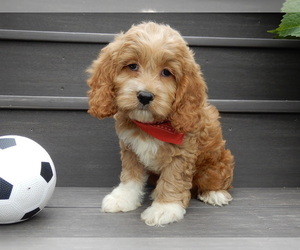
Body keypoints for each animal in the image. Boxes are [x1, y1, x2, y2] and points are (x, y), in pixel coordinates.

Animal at [86, 22, 234, 227]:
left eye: (166, 72)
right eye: (132, 66)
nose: (145, 96)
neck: (152, 126)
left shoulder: (182, 154)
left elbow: (172, 180)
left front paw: (165, 208)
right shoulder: (130, 149)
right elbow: (130, 176)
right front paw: (123, 198)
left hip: (215, 163)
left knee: (218, 178)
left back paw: (215, 193)